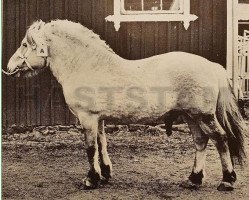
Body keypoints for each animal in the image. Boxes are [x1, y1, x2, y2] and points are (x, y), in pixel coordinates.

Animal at [4, 19, 246, 191]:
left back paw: (227, 180)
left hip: (203, 115)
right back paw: (194, 179)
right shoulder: (98, 118)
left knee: (221, 139)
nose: (9, 67)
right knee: (201, 141)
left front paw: (91, 179)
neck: (87, 65)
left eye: (25, 44)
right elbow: (102, 144)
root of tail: (212, 65)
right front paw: (105, 174)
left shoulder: (87, 117)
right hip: (190, 116)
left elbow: (90, 148)